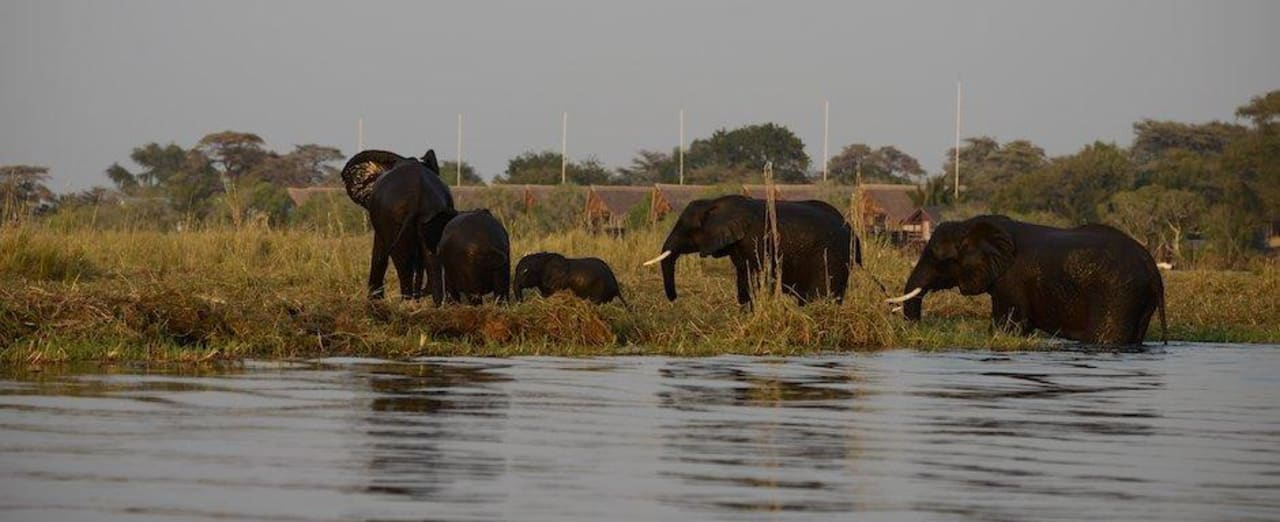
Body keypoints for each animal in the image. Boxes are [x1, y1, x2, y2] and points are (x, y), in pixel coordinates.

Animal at [341, 149, 456, 300]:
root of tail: (417, 197)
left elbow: (379, 252)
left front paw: (375, 300)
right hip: (432, 214)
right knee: (430, 256)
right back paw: (433, 301)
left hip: (392, 215)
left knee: (401, 259)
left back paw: (407, 300)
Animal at [644, 195, 860, 306]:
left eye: (687, 229)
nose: (674, 299)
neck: (714, 203)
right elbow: (744, 276)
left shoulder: (754, 240)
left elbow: (756, 276)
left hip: (832, 256)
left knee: (821, 295)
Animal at [888, 215, 1167, 345]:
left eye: (936, 257)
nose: (918, 332)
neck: (970, 226)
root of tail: (1152, 267)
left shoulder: (1011, 279)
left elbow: (1007, 325)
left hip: (1119, 294)